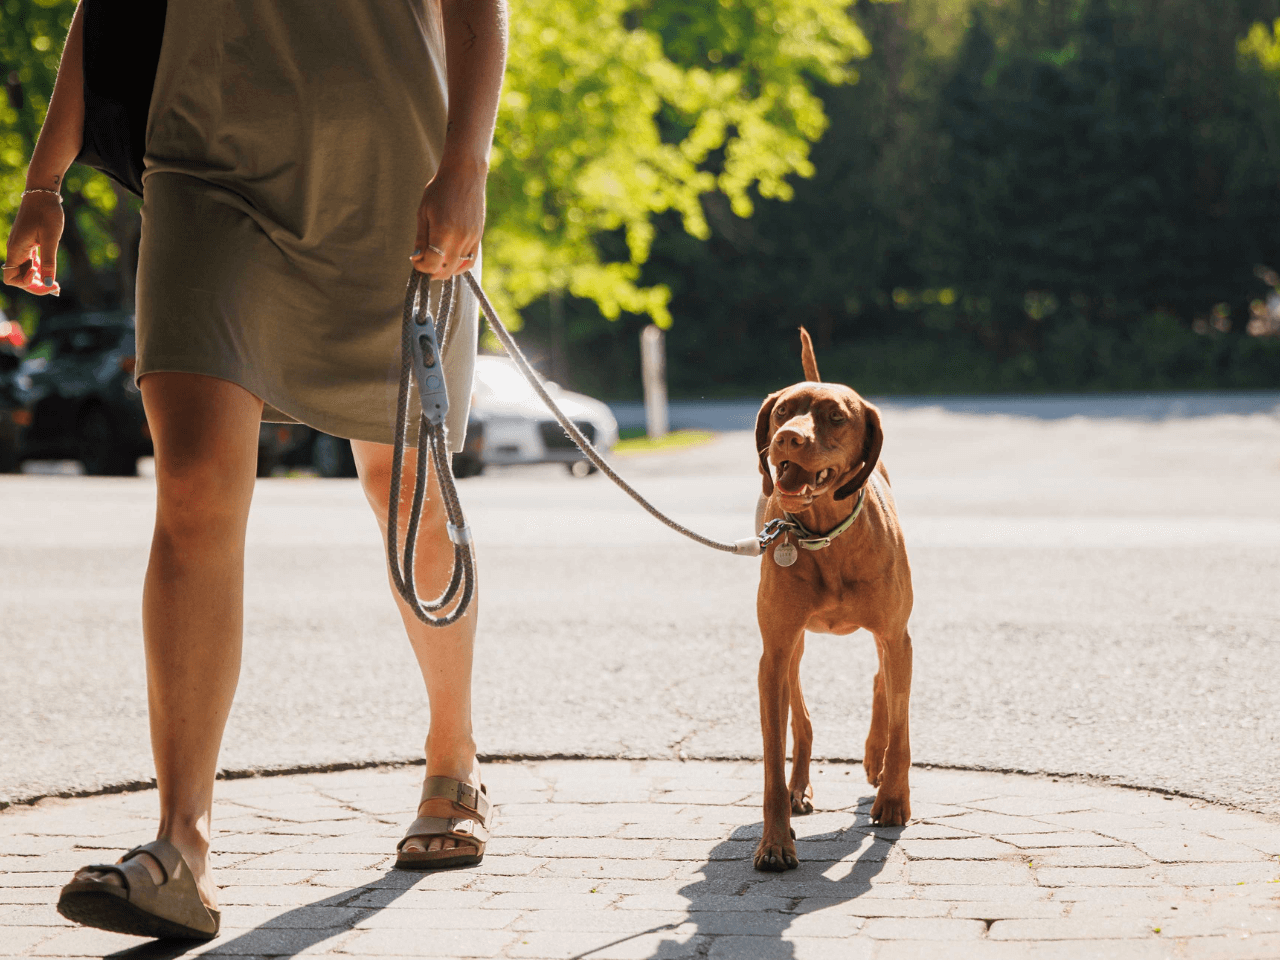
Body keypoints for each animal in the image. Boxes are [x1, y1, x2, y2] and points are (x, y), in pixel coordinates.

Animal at [752, 330, 916, 870]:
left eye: (835, 417)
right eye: (783, 412)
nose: (787, 438)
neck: (826, 537)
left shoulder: (895, 633)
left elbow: (901, 730)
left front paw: (893, 799)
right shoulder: (774, 650)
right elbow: (772, 758)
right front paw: (775, 841)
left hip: (893, 639)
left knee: (884, 679)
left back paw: (874, 758)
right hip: (794, 648)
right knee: (801, 719)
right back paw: (800, 785)